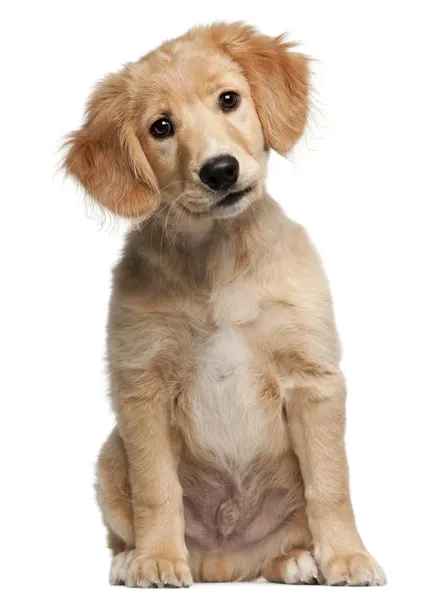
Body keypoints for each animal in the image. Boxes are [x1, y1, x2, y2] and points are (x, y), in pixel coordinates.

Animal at [63, 22, 384, 584]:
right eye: (161, 127)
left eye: (229, 99)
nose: (219, 170)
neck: (216, 257)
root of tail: (222, 563)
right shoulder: (141, 387)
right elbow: (157, 490)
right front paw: (158, 559)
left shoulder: (313, 378)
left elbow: (330, 484)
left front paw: (347, 557)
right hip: (110, 454)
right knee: (123, 526)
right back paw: (132, 557)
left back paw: (297, 559)